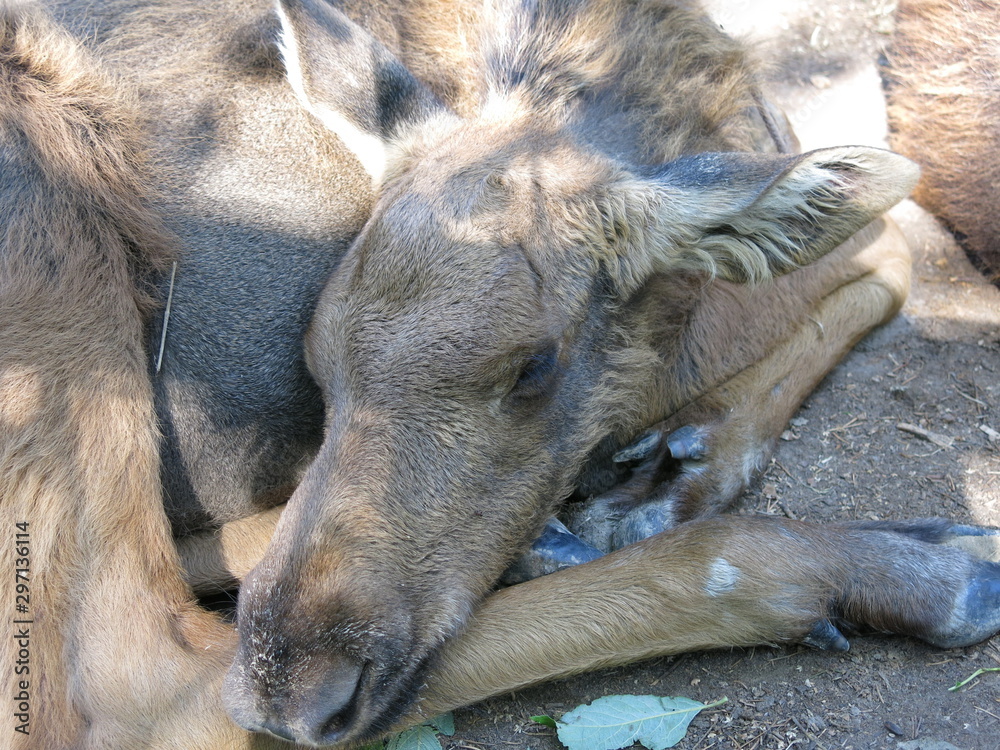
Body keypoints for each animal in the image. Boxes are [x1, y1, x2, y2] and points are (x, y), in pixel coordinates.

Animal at [2, 1, 999, 748]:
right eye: (319, 360)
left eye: (535, 366)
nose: (293, 688)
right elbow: (895, 249)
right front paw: (677, 477)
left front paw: (681, 465)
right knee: (145, 685)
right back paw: (911, 564)